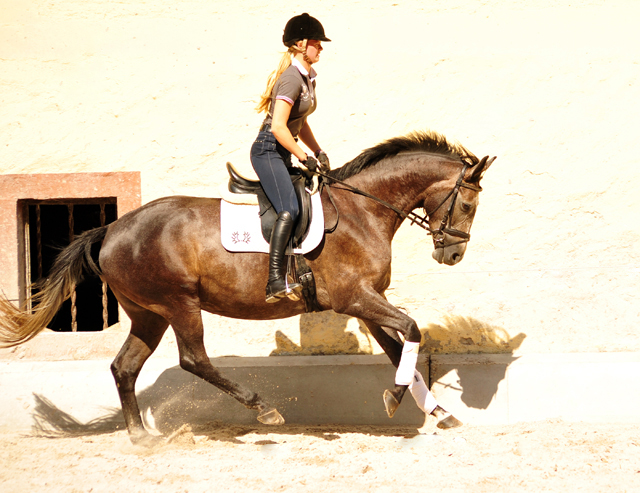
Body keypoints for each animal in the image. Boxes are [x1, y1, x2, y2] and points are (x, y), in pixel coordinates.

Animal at [0, 129, 496, 444]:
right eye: (468, 205)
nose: (452, 255)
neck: (362, 211)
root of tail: (112, 229)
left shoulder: (367, 301)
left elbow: (399, 350)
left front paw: (439, 413)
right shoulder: (356, 298)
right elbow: (412, 331)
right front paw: (398, 399)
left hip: (148, 315)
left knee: (124, 367)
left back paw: (141, 438)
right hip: (179, 303)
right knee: (193, 359)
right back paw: (263, 409)